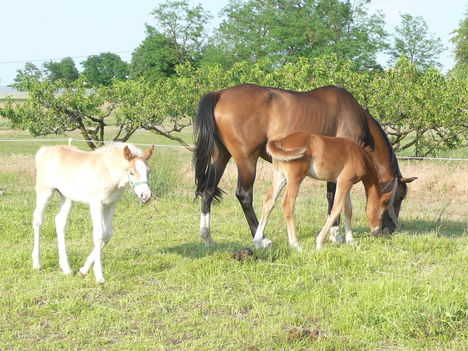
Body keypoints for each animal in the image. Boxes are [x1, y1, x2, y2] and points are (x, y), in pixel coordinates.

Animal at [31, 143, 155, 284]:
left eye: (149, 171)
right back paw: (37, 264)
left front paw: (83, 270)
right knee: (38, 220)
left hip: (66, 197)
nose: (146, 196)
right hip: (45, 192)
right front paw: (99, 276)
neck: (107, 171)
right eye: (131, 172)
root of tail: (44, 150)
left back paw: (66, 268)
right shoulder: (96, 204)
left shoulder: (110, 205)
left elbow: (107, 235)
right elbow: (99, 235)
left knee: (60, 221)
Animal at [252, 131, 416, 250]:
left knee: (269, 201)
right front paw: (319, 242)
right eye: (382, 212)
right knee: (287, 204)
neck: (361, 155)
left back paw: (258, 241)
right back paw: (295, 244)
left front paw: (350, 239)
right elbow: (337, 208)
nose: (376, 231)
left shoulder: (346, 184)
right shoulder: (344, 182)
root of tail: (280, 141)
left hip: (280, 176)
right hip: (295, 178)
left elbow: (348, 209)